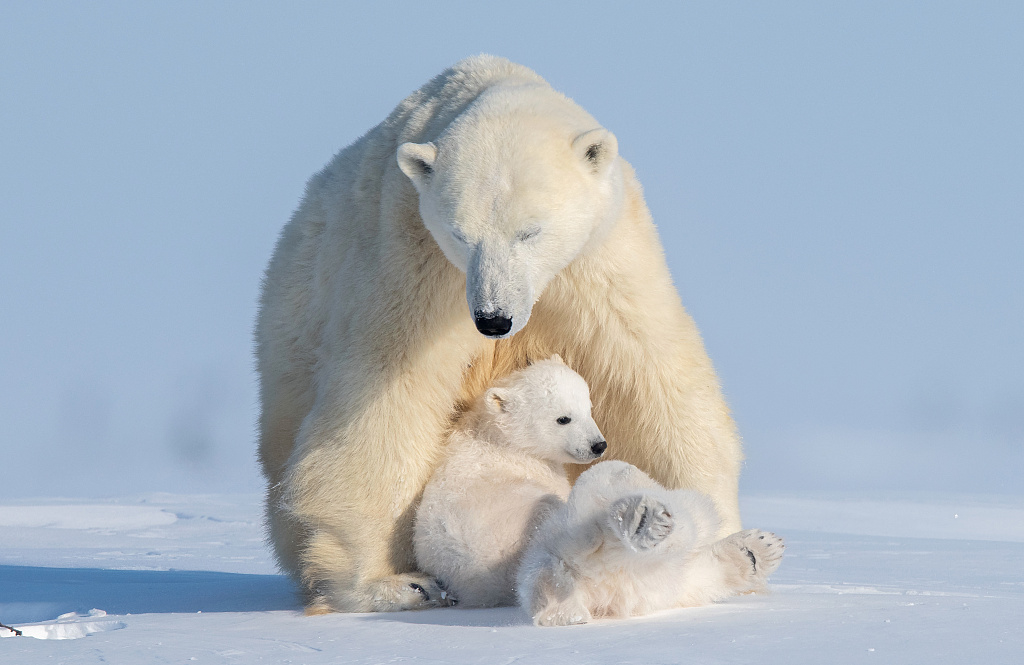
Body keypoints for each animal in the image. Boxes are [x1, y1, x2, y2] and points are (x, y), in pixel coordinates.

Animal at [252, 55, 741, 610]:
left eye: (531, 230)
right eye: (461, 234)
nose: (493, 319)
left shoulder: (603, 258)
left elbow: (648, 375)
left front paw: (708, 529)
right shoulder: (413, 261)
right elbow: (386, 394)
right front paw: (386, 583)